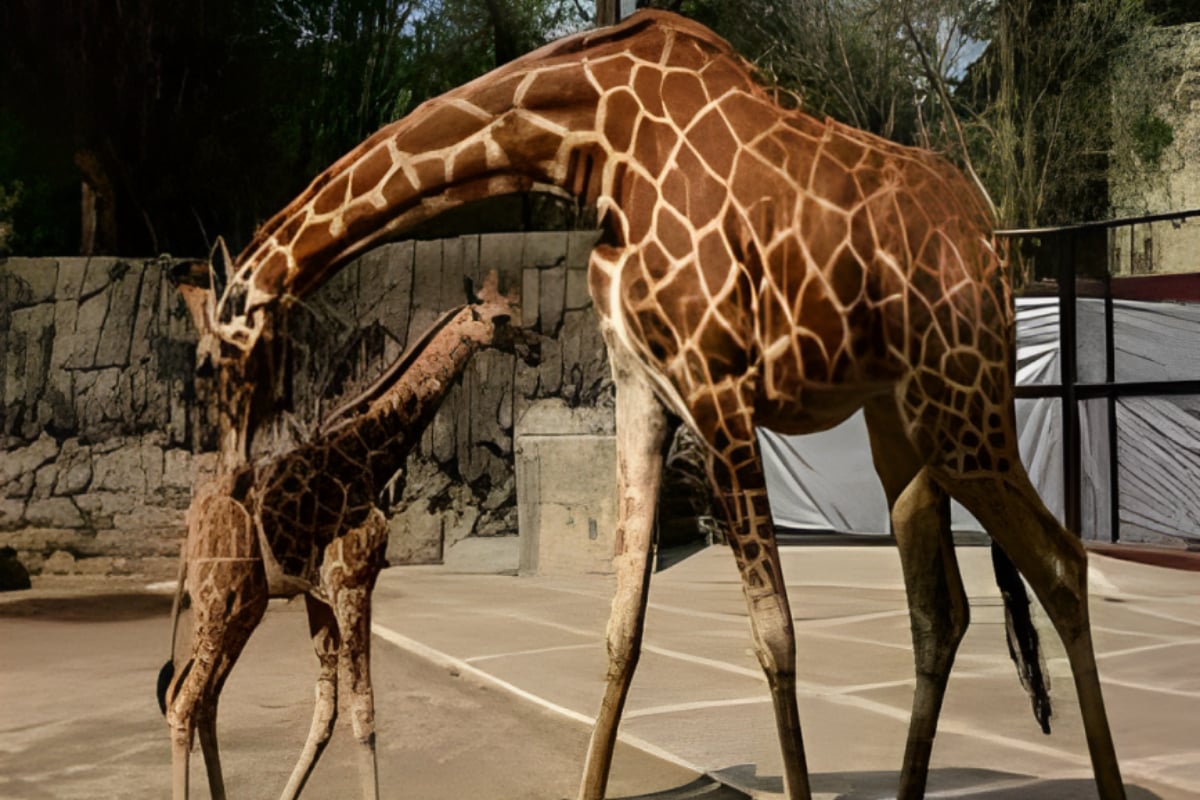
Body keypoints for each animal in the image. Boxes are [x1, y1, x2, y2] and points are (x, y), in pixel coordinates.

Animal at [163, 273, 528, 800]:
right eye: (501, 319)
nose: (534, 345)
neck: (367, 459)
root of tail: (192, 527)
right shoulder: (353, 583)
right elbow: (364, 710)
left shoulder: (320, 596)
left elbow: (327, 709)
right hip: (218, 598)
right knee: (183, 703)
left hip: (244, 605)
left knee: (204, 699)